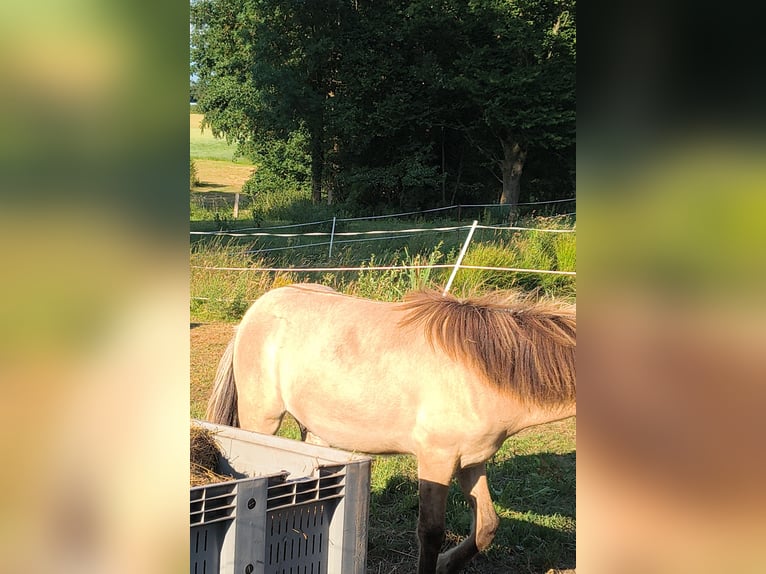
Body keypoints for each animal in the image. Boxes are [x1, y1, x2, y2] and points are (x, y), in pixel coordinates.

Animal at [206, 283, 576, 574]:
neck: (479, 370)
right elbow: (431, 533)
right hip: (262, 420)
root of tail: (256, 310)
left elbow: (487, 526)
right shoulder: (436, 460)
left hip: (317, 433)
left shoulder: (472, 461)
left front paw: (447, 564)